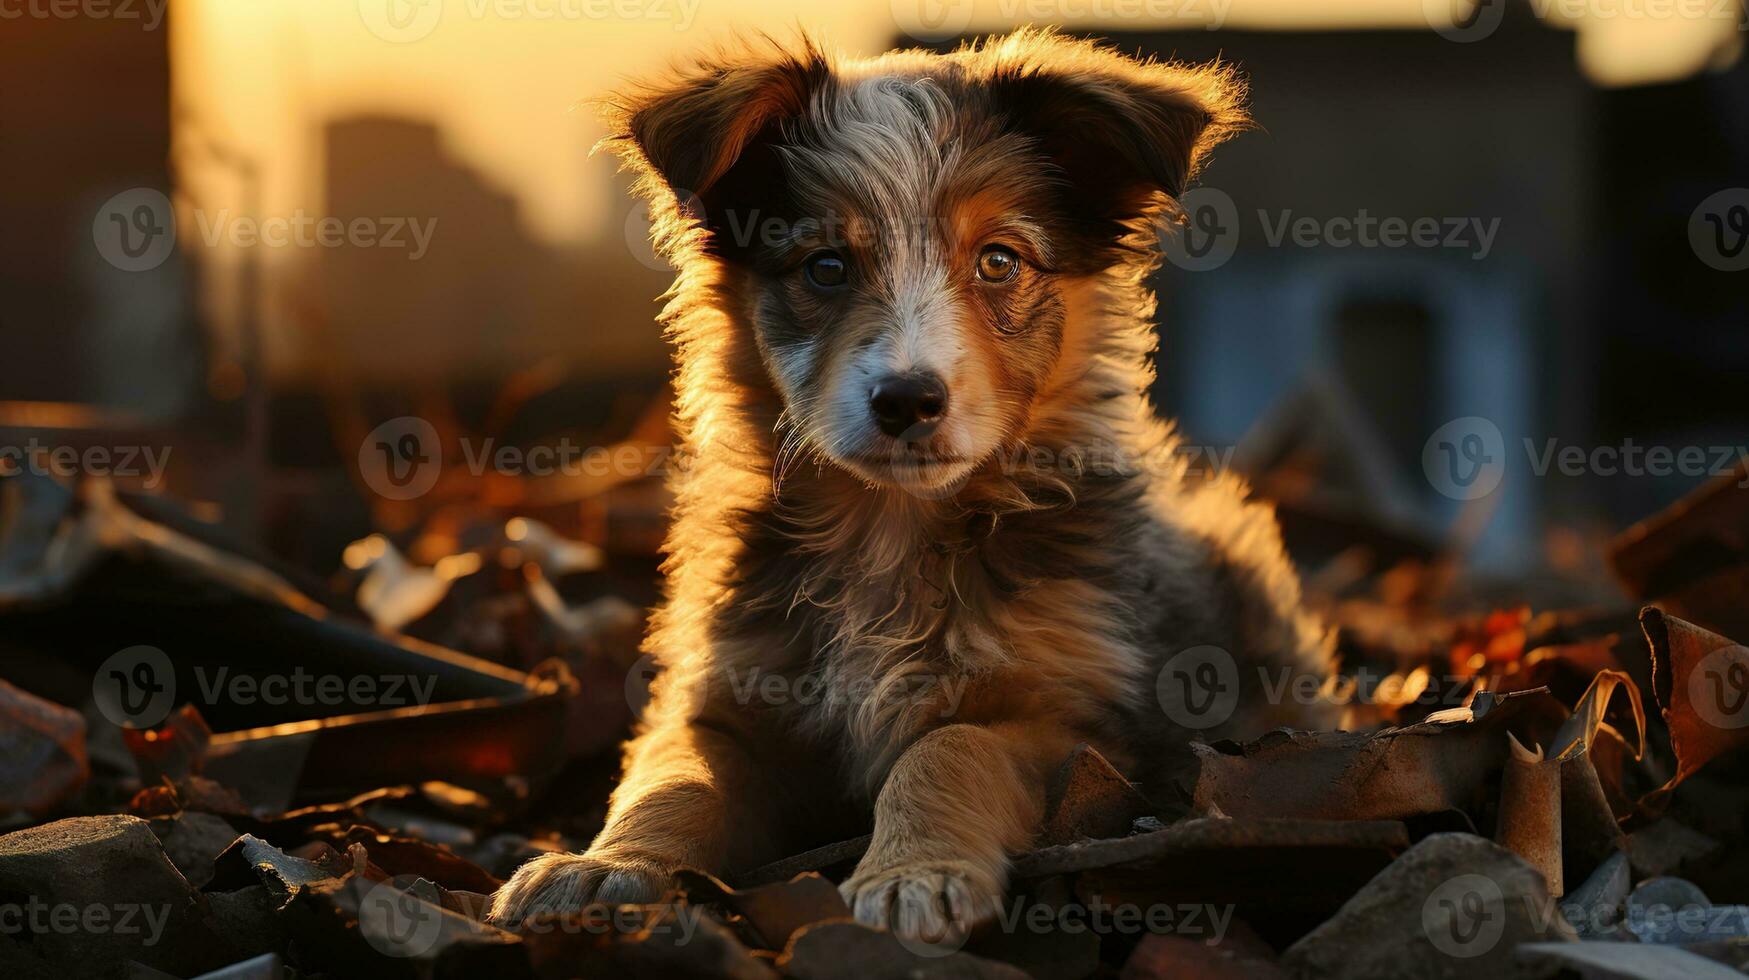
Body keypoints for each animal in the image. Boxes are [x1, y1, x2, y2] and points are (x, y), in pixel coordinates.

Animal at [493, 28, 1336, 945]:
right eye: (825, 266)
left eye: (998, 261)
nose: (906, 399)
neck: (890, 530)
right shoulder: (730, 698)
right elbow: (670, 776)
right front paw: (604, 865)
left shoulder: (1067, 722)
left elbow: (949, 749)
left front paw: (912, 875)